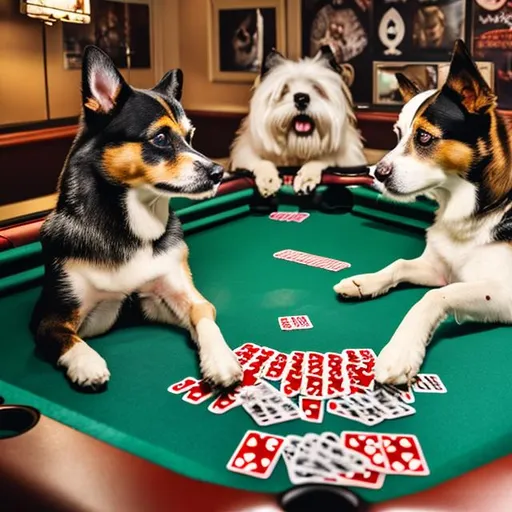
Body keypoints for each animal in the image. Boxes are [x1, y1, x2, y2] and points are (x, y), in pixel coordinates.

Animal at [31, 47, 243, 392]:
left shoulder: (173, 295)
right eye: (160, 138)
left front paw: (221, 358)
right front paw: (86, 362)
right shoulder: (49, 317)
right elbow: (65, 337)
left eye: (190, 136)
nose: (218, 173)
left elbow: (203, 312)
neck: (132, 230)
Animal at [228, 47, 364, 197]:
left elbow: (324, 158)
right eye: (284, 90)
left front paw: (307, 177)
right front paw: (267, 180)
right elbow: (260, 162)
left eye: (317, 88)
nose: (301, 98)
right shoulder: (245, 154)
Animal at [332, 39, 512, 384]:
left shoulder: (504, 292)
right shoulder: (439, 268)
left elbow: (435, 296)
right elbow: (400, 264)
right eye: (397, 135)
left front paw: (401, 350)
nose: (375, 174)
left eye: (425, 137)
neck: (473, 210)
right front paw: (366, 282)